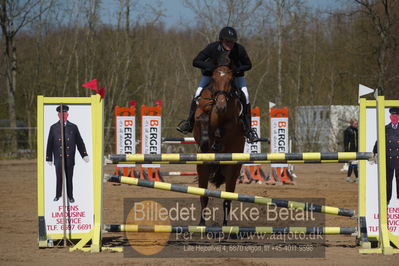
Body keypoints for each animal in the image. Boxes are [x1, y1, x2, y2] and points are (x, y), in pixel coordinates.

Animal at [193, 51, 245, 225]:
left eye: (230, 79)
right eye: (214, 78)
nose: (221, 106)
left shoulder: (232, 122)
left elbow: (222, 129)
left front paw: (216, 142)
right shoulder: (199, 116)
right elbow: (202, 118)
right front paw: (205, 142)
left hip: (232, 171)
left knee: (227, 199)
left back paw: (225, 226)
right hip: (202, 168)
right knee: (203, 197)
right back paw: (201, 225)